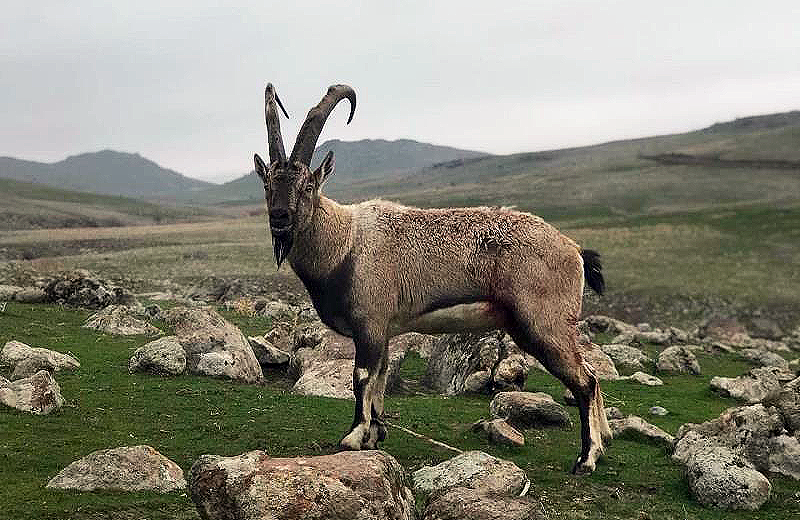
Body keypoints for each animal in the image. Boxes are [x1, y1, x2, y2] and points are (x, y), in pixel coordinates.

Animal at [256, 83, 612, 474]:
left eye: (307, 185)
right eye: (268, 183)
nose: (279, 217)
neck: (345, 242)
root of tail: (574, 250)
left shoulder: (370, 324)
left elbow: (362, 378)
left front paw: (352, 437)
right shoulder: (386, 331)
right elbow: (379, 381)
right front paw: (374, 435)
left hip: (544, 324)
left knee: (585, 381)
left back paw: (586, 458)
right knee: (591, 375)